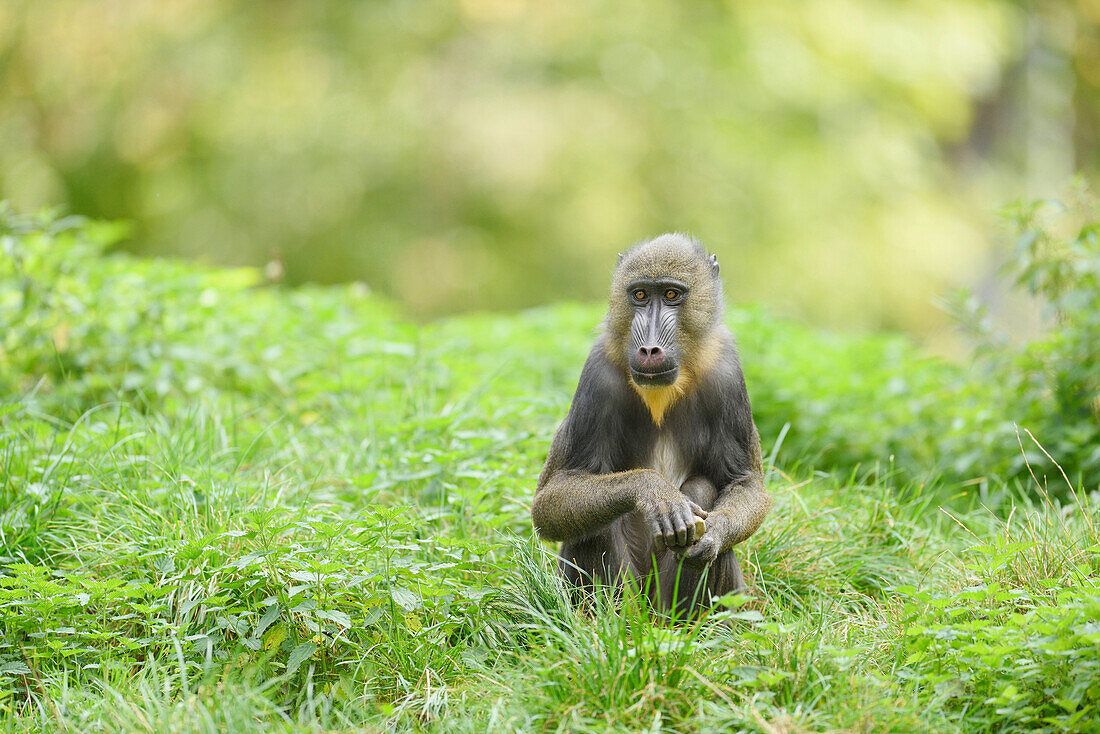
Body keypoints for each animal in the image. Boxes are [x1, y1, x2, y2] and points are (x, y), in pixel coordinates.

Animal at [528, 234, 770, 616]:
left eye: (671, 294)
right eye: (640, 295)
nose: (650, 349)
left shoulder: (727, 374)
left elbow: (744, 482)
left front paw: (713, 534)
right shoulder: (597, 374)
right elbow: (552, 500)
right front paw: (653, 491)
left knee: (702, 487)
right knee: (598, 516)